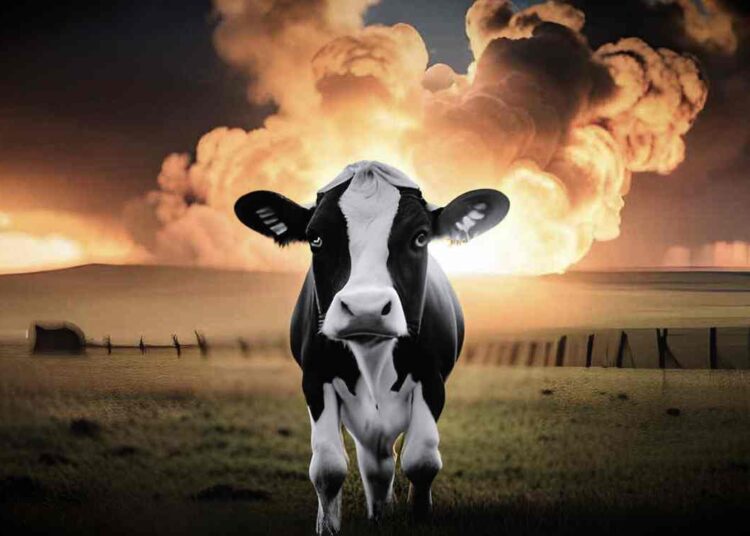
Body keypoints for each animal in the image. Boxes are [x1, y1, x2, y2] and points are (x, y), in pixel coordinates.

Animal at [234, 161, 509, 533]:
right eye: (316, 239)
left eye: (420, 237)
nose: (366, 308)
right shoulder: (315, 380)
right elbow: (328, 466)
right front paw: (329, 525)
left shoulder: (432, 379)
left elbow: (421, 460)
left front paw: (417, 516)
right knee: (373, 459)